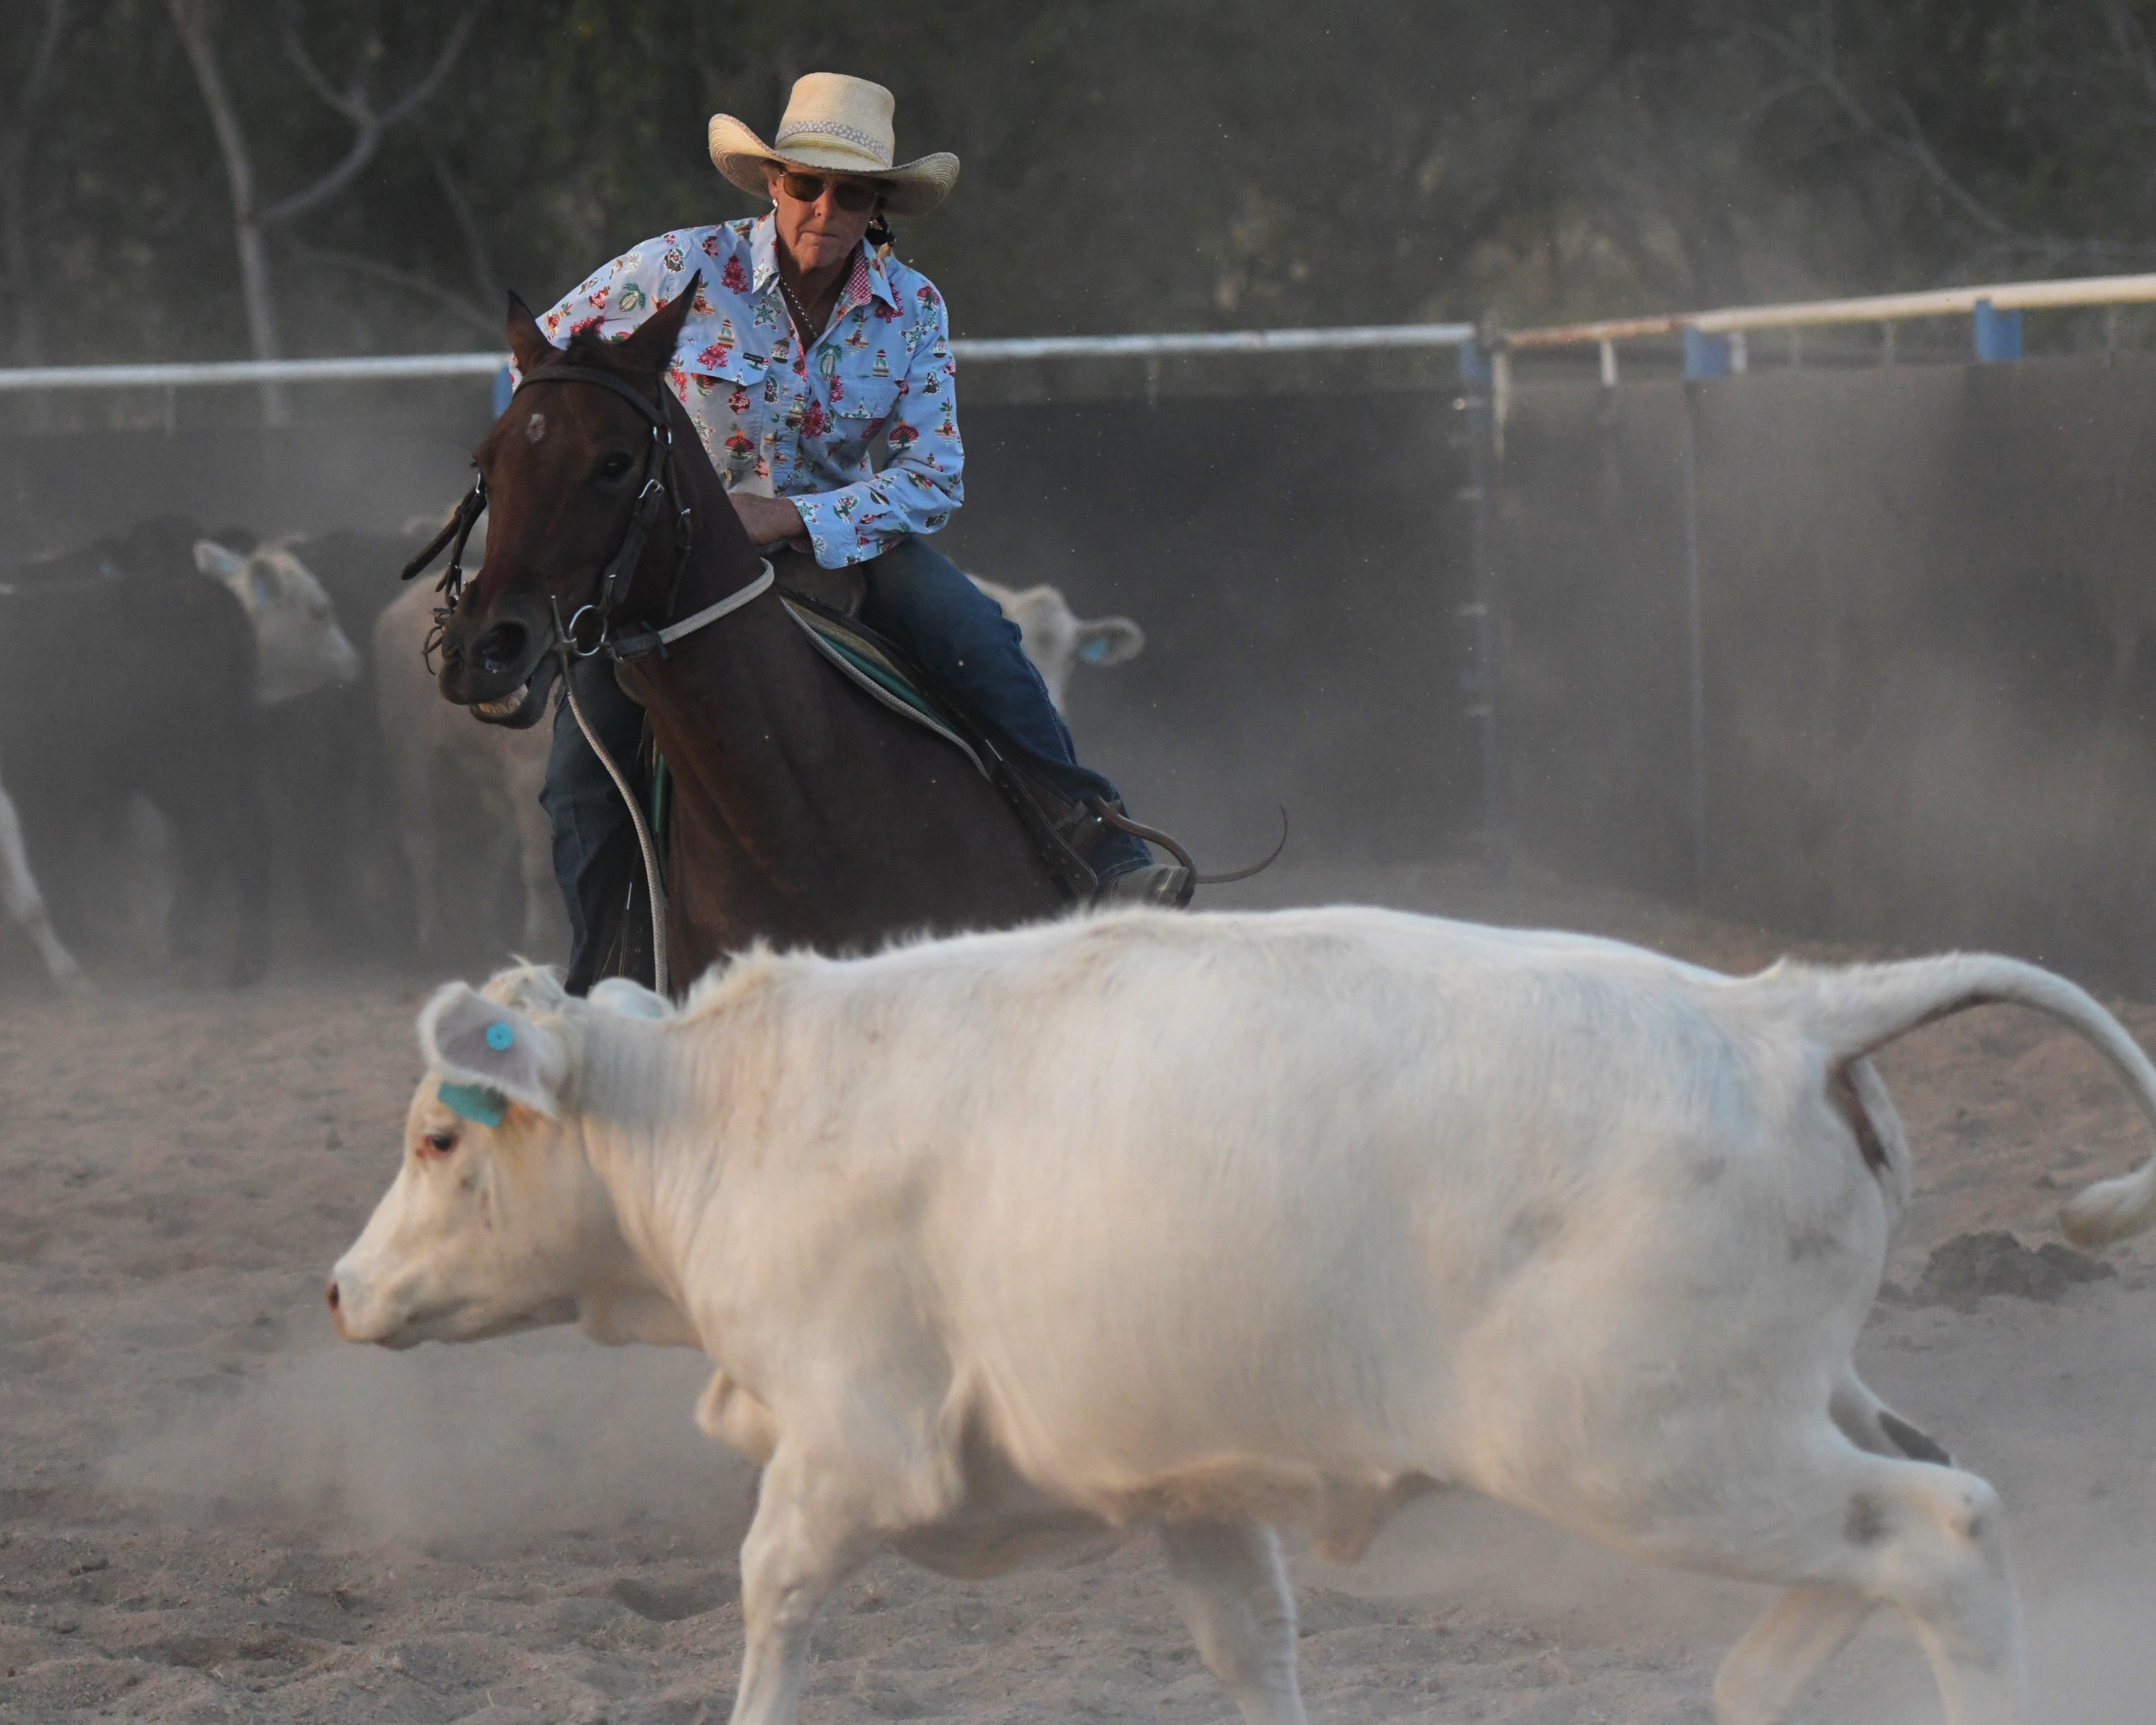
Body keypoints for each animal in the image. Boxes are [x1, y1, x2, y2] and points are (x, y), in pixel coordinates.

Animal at [329, 907, 2156, 1725]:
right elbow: (1248, 1642)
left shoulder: (850, 1443)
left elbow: (774, 1598)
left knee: (1940, 1529)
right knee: (1886, 1516)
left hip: (1650, 1447)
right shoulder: (1183, 1485)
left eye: (439, 1139)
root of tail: (1785, 1015)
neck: (728, 1114)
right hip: (1772, 1411)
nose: (342, 1288)